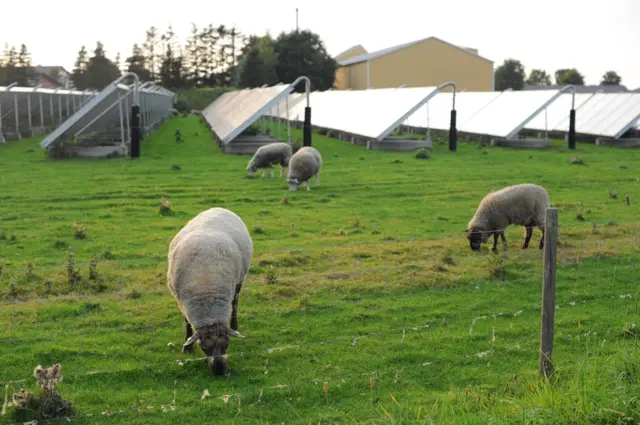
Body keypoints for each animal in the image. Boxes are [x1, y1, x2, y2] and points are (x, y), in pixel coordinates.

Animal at [168, 206, 252, 374]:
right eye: (203, 347)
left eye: (227, 344)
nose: (220, 370)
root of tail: (219, 207)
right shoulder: (181, 300)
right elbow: (187, 323)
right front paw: (187, 347)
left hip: (240, 279)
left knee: (235, 302)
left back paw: (234, 324)